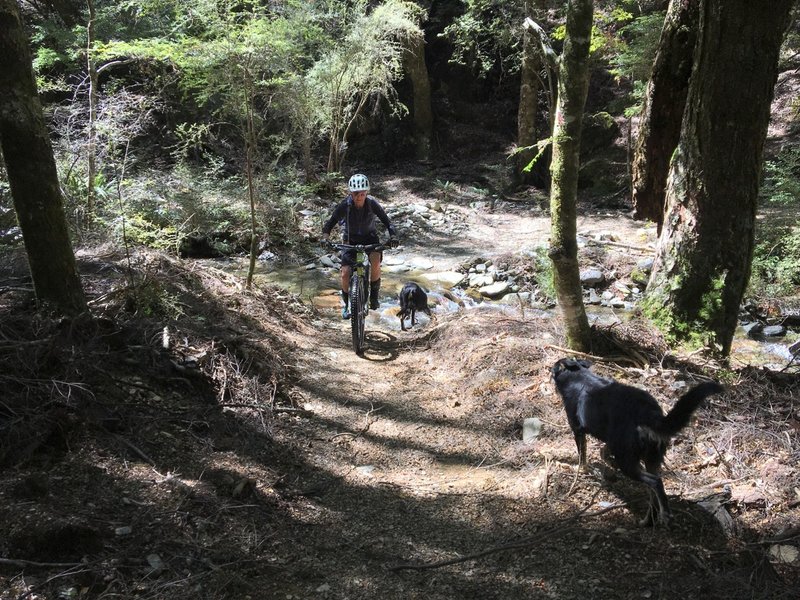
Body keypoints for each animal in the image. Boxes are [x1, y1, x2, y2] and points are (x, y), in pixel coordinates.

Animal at [552, 356, 720, 524]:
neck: (579, 376)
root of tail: (647, 412)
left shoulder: (578, 430)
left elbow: (583, 457)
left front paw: (582, 469)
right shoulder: (613, 441)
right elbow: (603, 451)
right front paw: (608, 463)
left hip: (628, 463)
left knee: (655, 483)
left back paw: (664, 514)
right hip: (651, 458)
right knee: (654, 489)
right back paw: (649, 520)